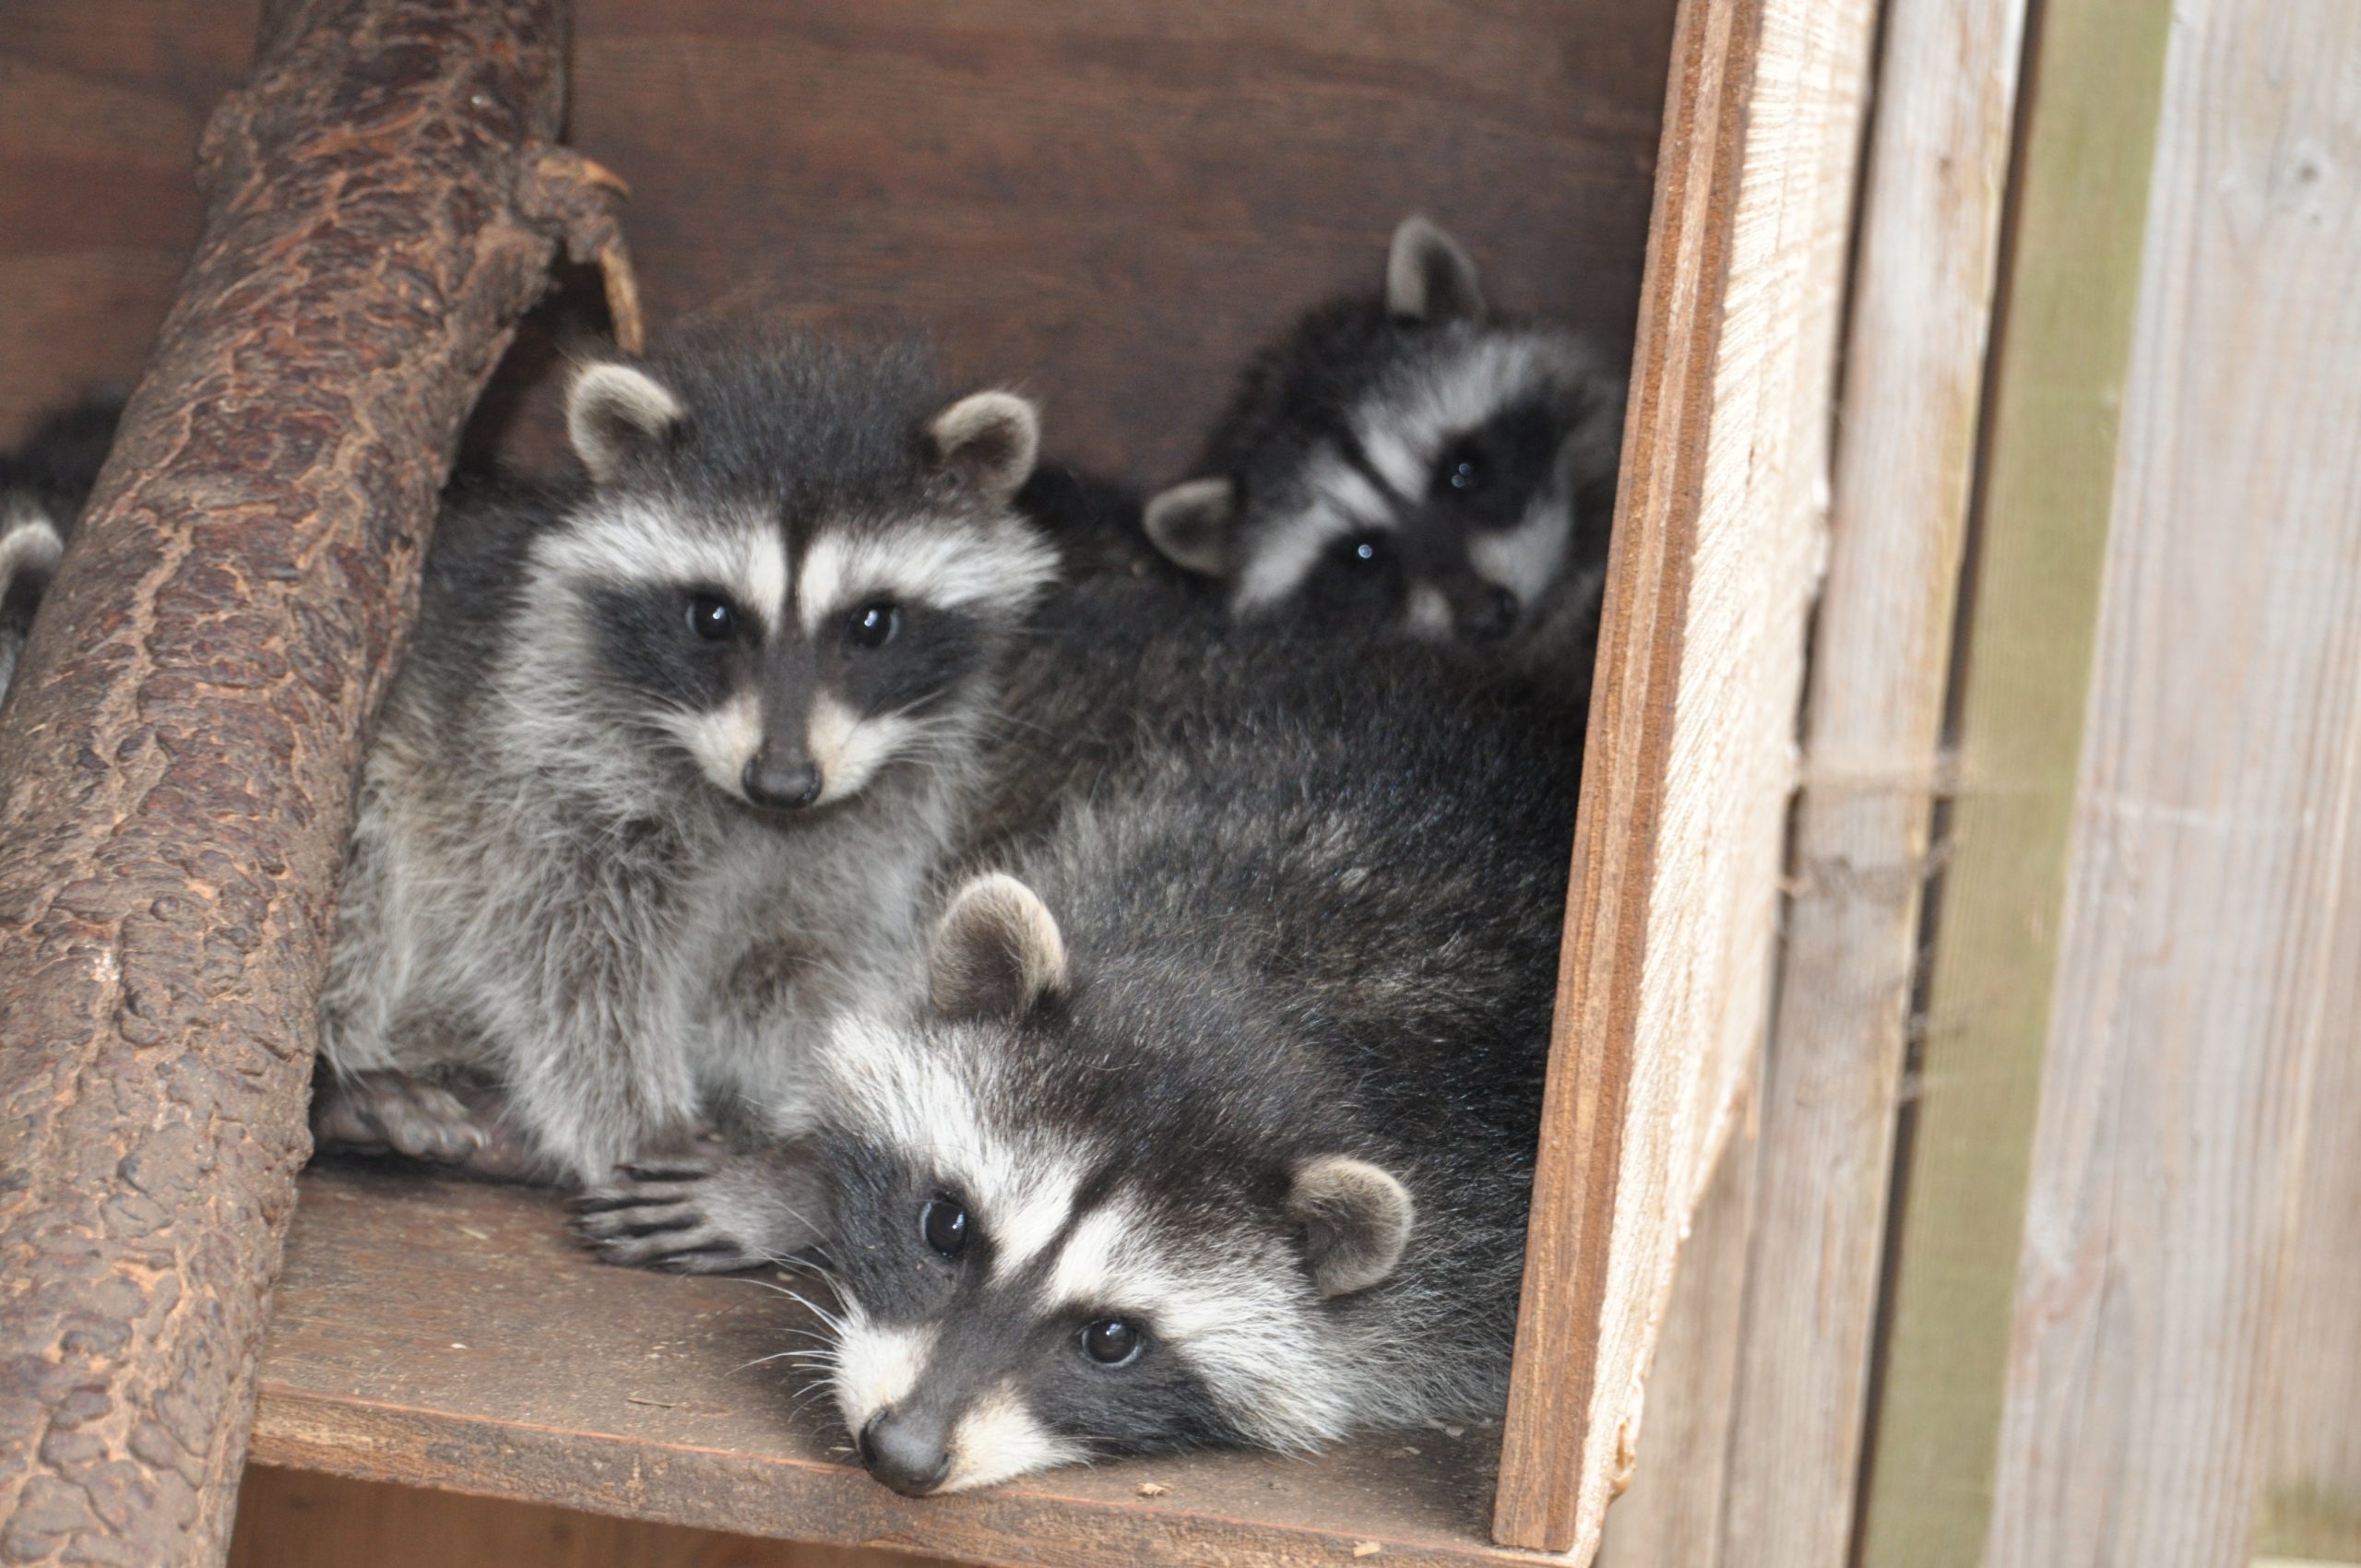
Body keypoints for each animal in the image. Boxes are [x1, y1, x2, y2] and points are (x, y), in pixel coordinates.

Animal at [314, 332, 1062, 1190]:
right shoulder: (543, 756)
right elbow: (568, 957)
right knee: (369, 871)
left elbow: (791, 968)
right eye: (712, 616)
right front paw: (640, 1120)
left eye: (873, 623)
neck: (750, 812)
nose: (782, 782)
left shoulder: (856, 840)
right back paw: (339, 1081)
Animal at [585, 578, 1586, 1492]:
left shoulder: (1474, 1252)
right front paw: (792, 1175)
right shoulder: (1114, 841)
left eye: (1111, 1338)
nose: (900, 1455)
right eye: (947, 1224)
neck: (1259, 994)